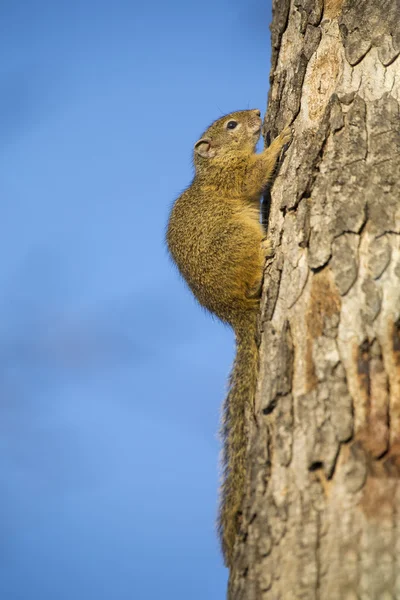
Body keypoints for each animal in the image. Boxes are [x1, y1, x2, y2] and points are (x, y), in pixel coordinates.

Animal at [164, 109, 292, 568]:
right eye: (231, 126)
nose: (257, 114)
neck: (212, 168)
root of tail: (234, 312)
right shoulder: (235, 178)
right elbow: (256, 174)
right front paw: (281, 140)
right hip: (235, 243)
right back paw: (267, 252)